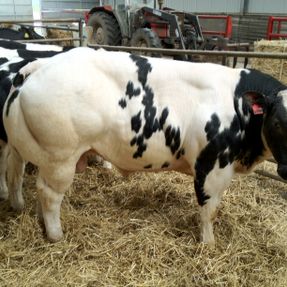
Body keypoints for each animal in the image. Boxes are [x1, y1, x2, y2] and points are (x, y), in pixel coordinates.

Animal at [3, 47, 287, 245]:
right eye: (277, 123)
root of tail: (44, 63)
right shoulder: (212, 168)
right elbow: (209, 211)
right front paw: (208, 244)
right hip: (61, 158)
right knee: (50, 195)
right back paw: (56, 235)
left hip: (42, 155)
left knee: (34, 186)